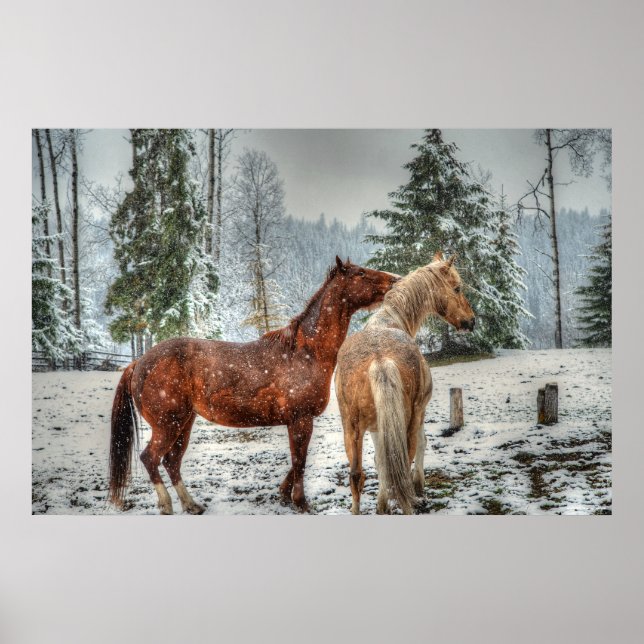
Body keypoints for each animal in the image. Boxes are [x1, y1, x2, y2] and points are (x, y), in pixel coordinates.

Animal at [108, 256, 399, 514]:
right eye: (360, 273)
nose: (395, 280)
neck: (304, 352)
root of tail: (139, 363)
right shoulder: (301, 419)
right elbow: (300, 461)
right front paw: (301, 502)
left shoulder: (298, 420)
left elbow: (296, 462)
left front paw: (284, 495)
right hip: (168, 424)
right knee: (151, 458)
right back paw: (166, 504)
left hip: (184, 423)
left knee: (171, 462)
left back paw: (191, 505)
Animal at [334, 252, 475, 514]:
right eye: (457, 288)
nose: (471, 321)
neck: (391, 320)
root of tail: (380, 361)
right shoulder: (420, 411)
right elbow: (422, 444)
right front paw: (418, 489)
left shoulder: (377, 428)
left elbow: (381, 461)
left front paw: (382, 505)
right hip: (407, 421)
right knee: (404, 467)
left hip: (351, 428)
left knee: (357, 476)